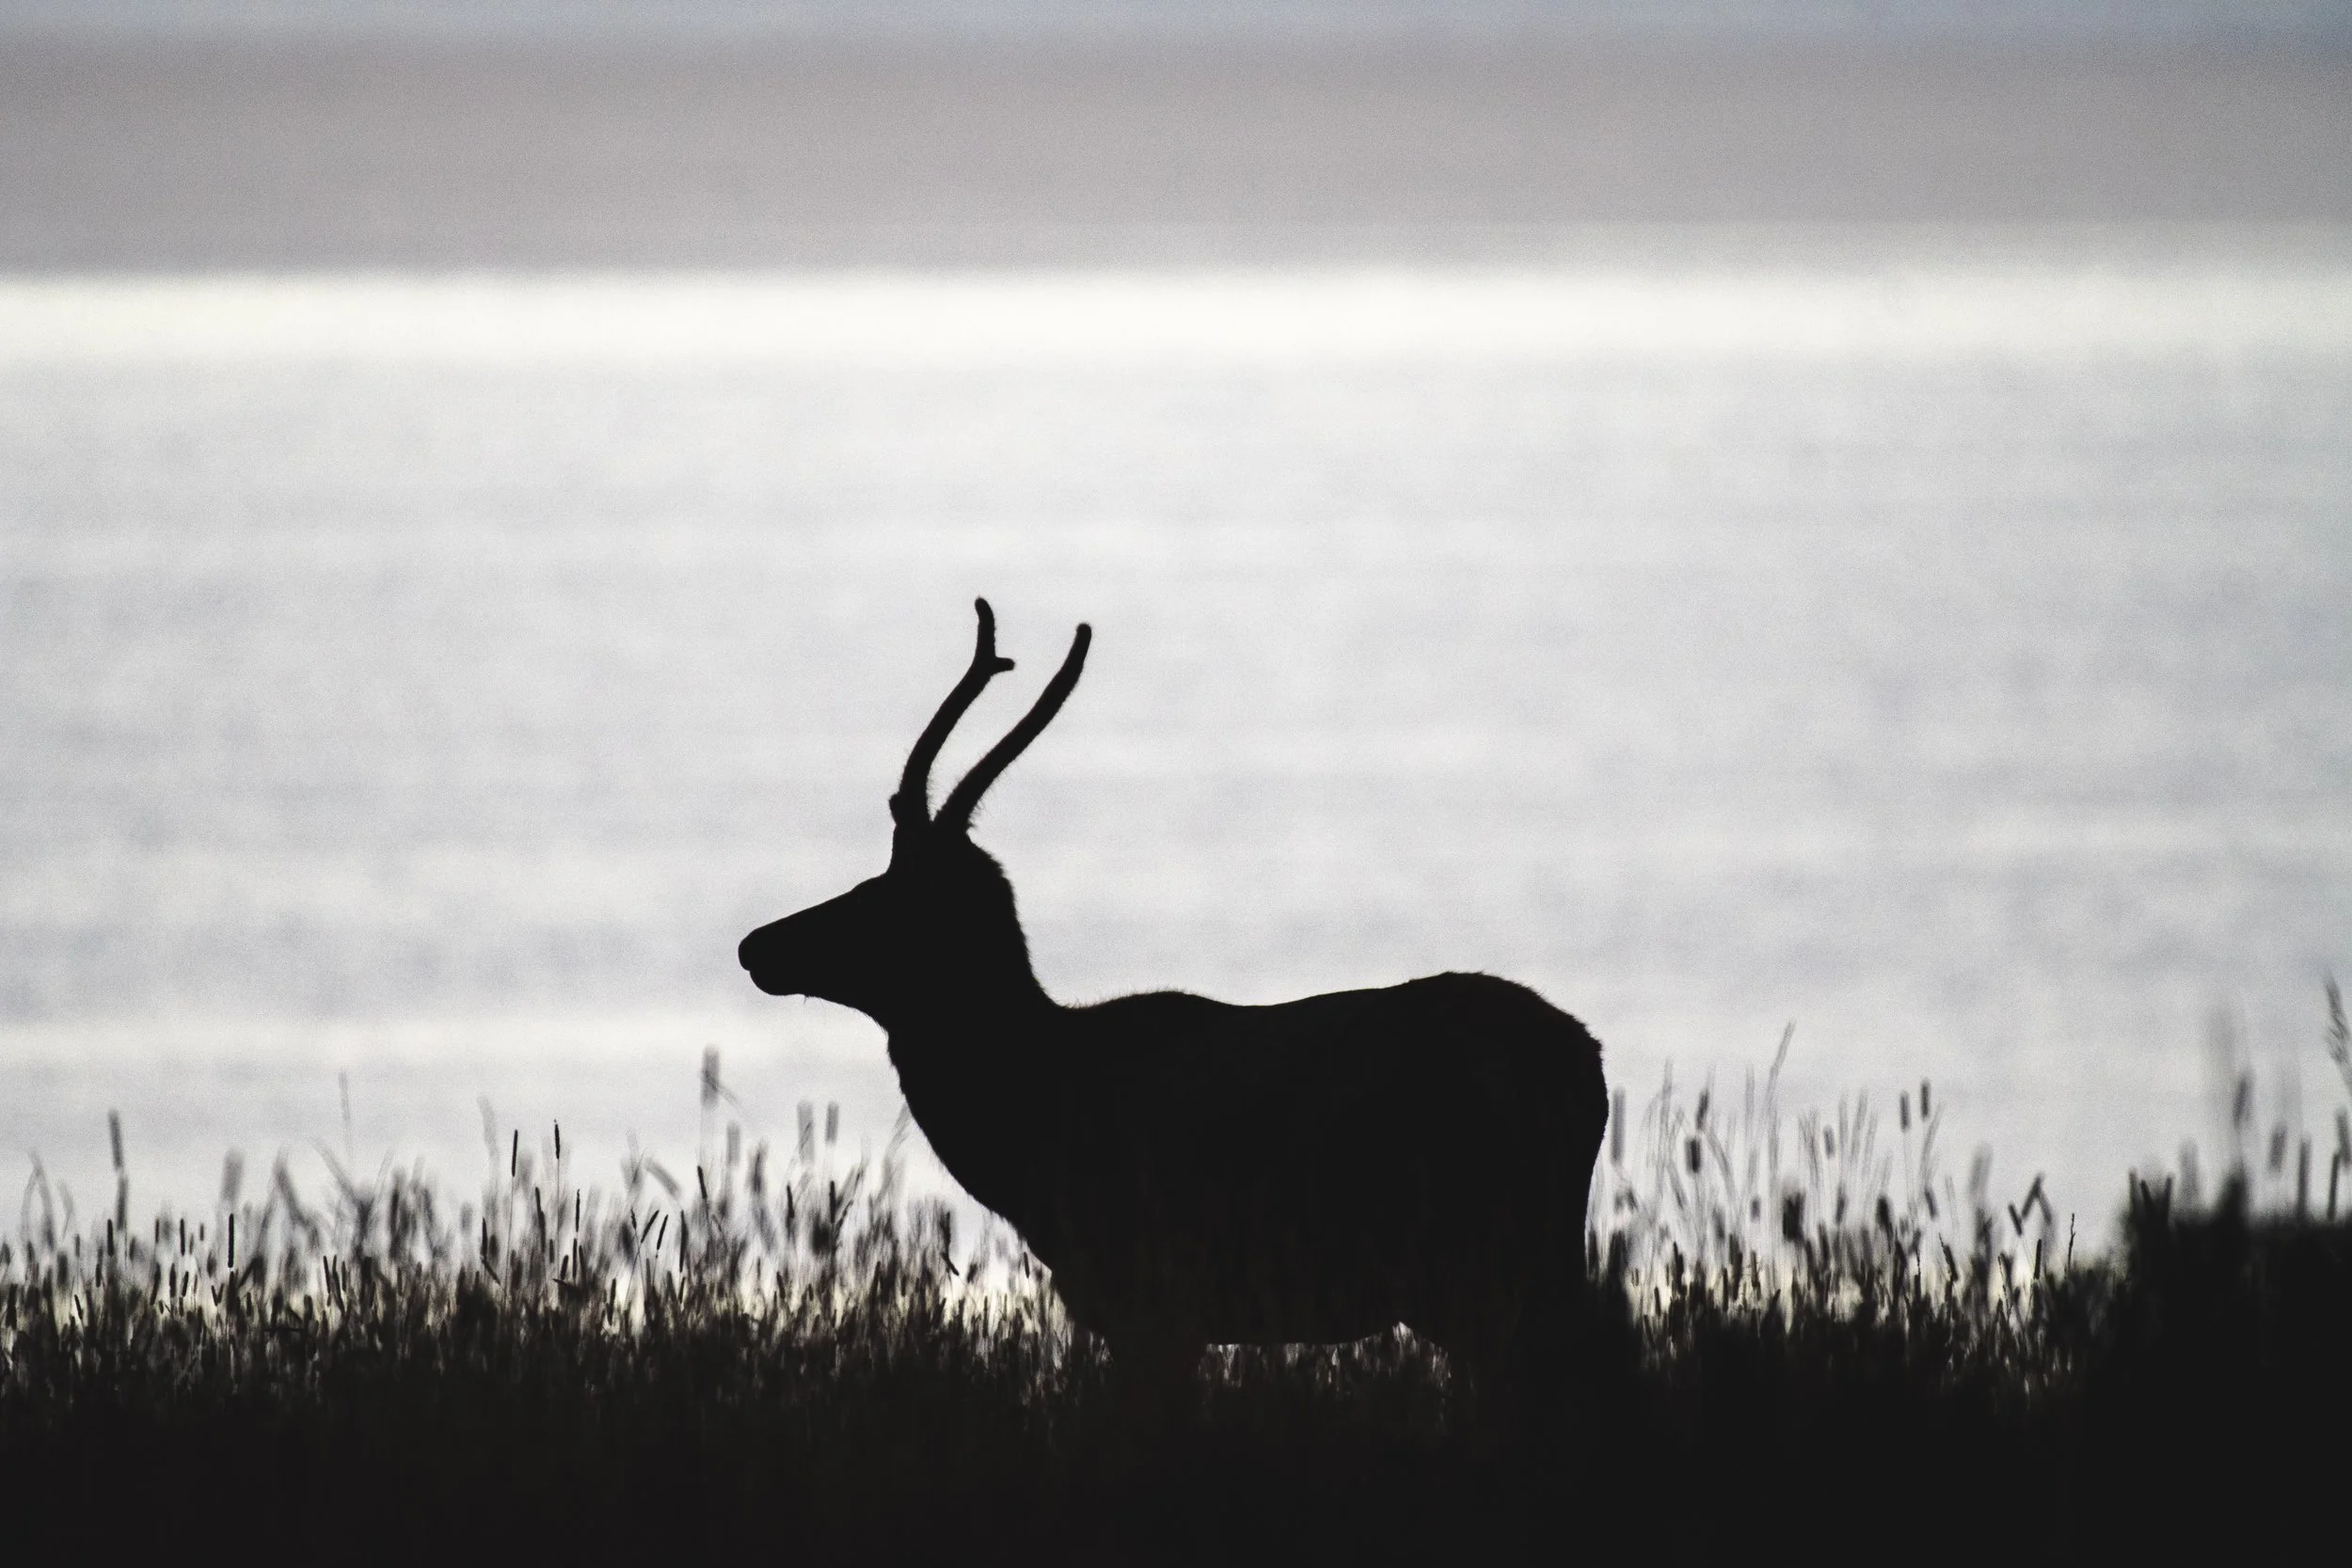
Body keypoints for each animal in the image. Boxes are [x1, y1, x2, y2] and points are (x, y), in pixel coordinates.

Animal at [738, 600, 1609, 1421]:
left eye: (885, 894)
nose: (756, 944)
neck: (1029, 1126)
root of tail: (1586, 1066)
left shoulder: (1153, 1301)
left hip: (1475, 1261)